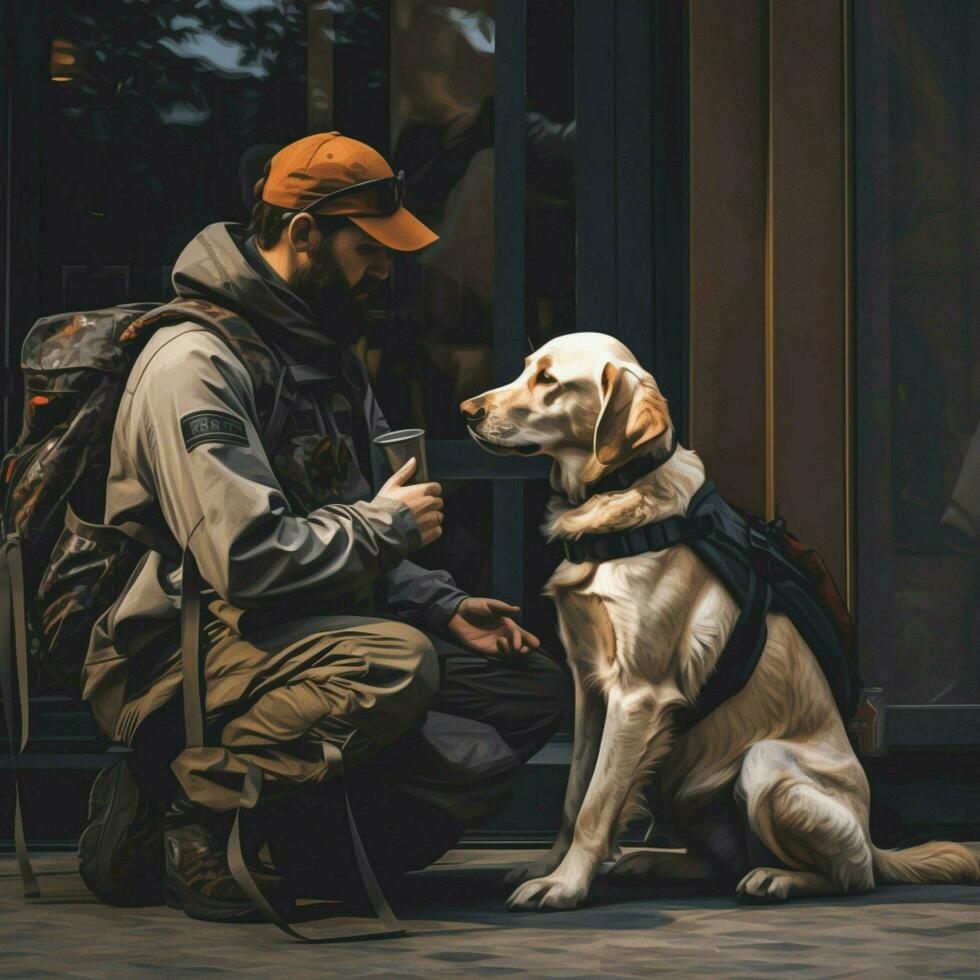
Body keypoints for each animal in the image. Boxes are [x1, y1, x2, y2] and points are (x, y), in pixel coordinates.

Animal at [462, 334, 980, 912]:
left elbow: (596, 805)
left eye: (549, 381)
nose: (466, 411)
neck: (620, 493)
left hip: (765, 763)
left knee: (852, 875)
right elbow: (575, 796)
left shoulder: (637, 696)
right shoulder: (590, 690)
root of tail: (873, 838)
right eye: (527, 368)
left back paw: (776, 878)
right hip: (679, 780)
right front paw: (547, 866)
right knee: (723, 860)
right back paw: (652, 862)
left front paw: (565, 885)